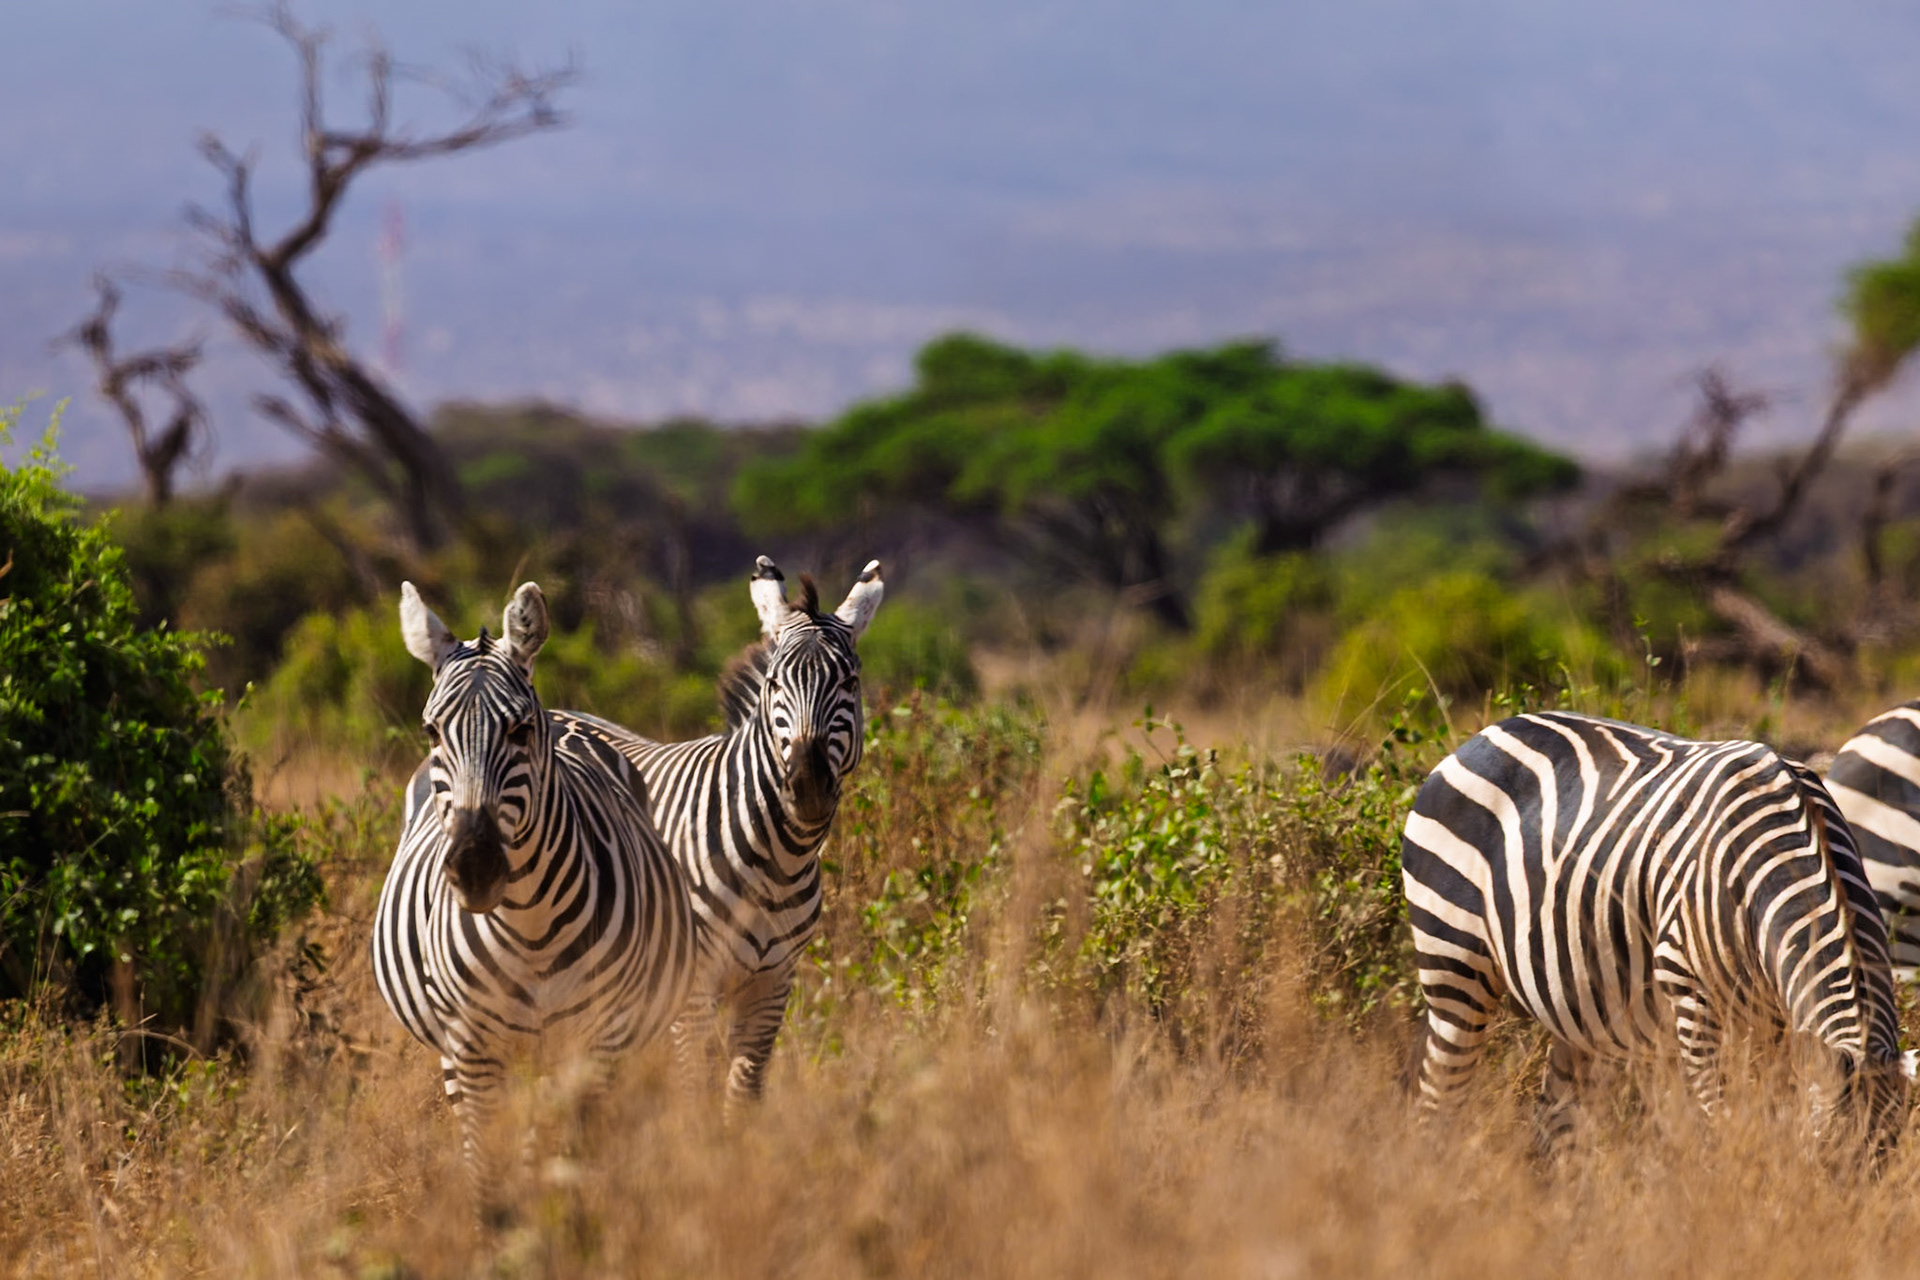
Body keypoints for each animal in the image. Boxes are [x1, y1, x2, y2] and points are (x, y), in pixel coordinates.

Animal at [372, 581, 697, 1184]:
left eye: (520, 730)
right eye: (431, 730)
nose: (475, 868)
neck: (530, 925)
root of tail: (567, 714)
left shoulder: (598, 1040)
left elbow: (569, 1155)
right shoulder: (473, 1047)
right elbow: (487, 1170)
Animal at [566, 555, 883, 1108]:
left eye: (849, 682)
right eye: (774, 683)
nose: (807, 784)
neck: (778, 862)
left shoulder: (773, 983)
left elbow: (744, 1090)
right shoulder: (694, 988)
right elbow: (696, 1085)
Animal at [1403, 710, 1905, 1153]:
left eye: (1886, 1162)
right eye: (1827, 1158)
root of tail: (1485, 733)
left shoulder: (1778, 1026)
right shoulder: (1693, 996)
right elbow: (1722, 1121)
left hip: (1579, 1007)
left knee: (1553, 1123)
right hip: (1452, 965)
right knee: (1437, 1097)